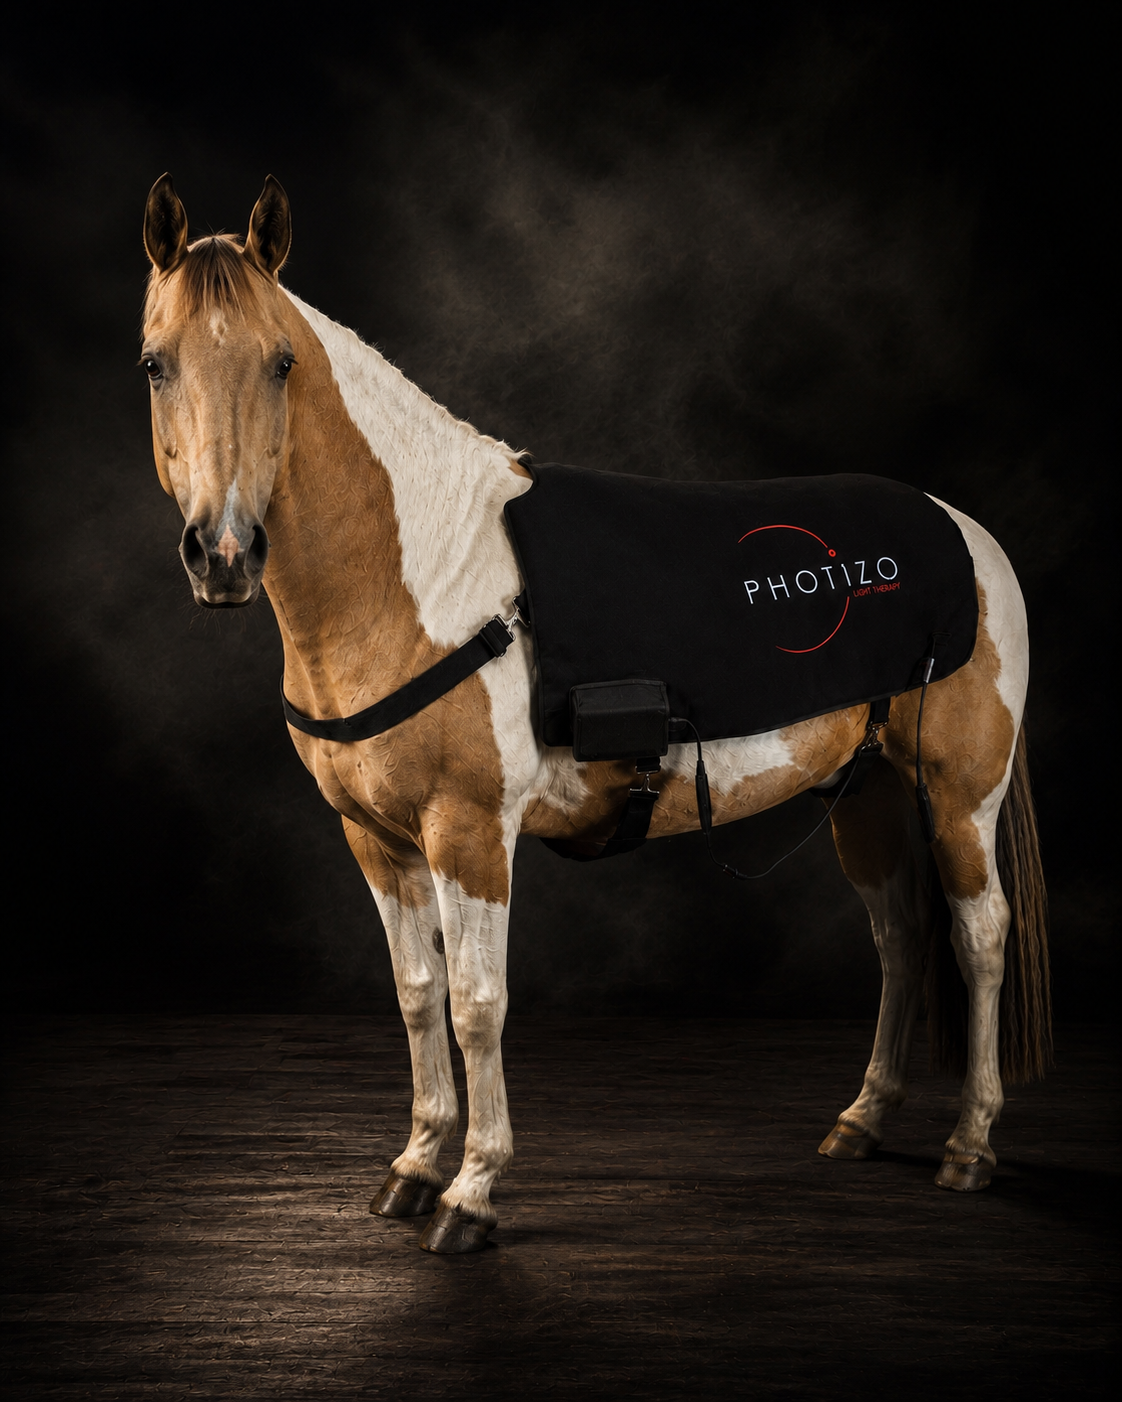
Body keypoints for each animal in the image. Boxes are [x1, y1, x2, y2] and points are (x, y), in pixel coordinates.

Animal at [140, 175, 1050, 1254]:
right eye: (155, 364)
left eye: (281, 361)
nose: (223, 553)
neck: (420, 580)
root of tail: (967, 530)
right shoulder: (376, 839)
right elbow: (416, 997)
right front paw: (415, 1164)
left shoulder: (469, 834)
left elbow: (476, 1003)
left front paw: (472, 1191)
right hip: (864, 794)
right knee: (902, 937)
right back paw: (863, 1120)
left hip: (959, 795)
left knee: (979, 937)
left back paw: (971, 1143)